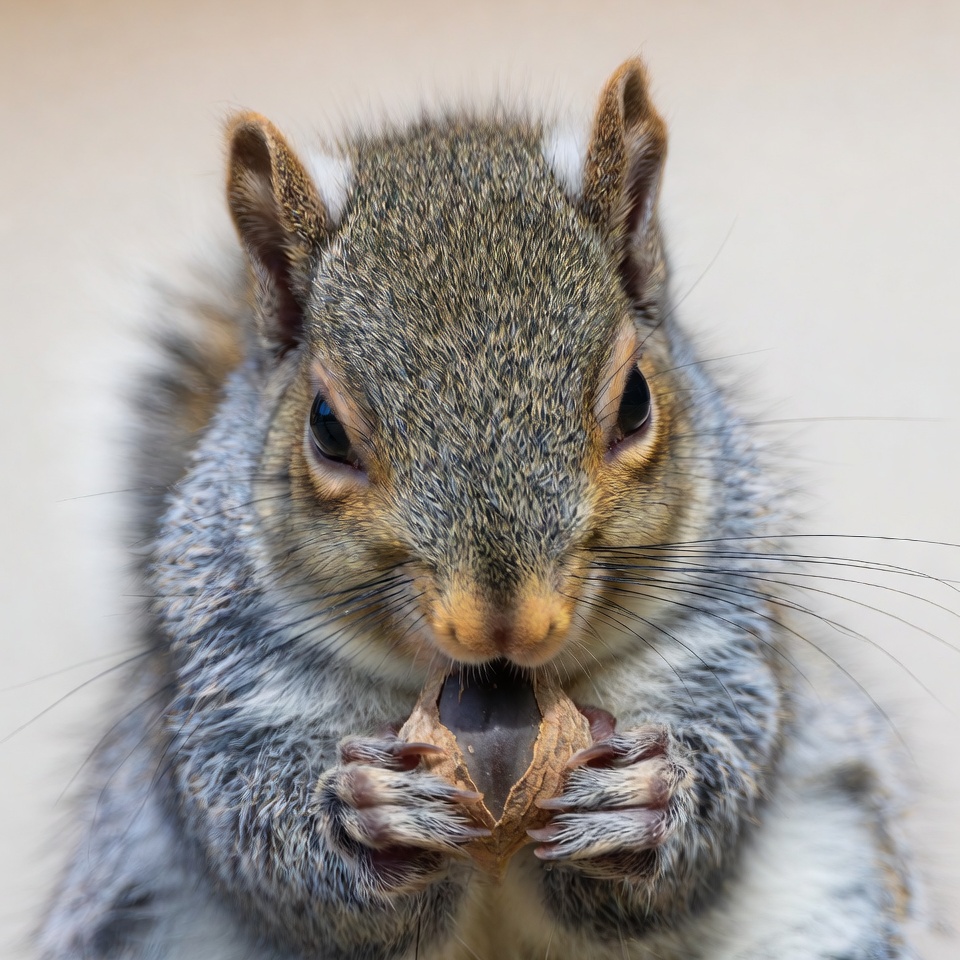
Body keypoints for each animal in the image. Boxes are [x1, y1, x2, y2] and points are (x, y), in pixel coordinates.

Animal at [37, 59, 916, 960]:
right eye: (326, 428)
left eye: (636, 401)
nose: (504, 625)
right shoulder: (231, 678)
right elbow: (249, 820)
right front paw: (366, 819)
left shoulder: (717, 630)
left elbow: (727, 764)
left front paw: (647, 798)